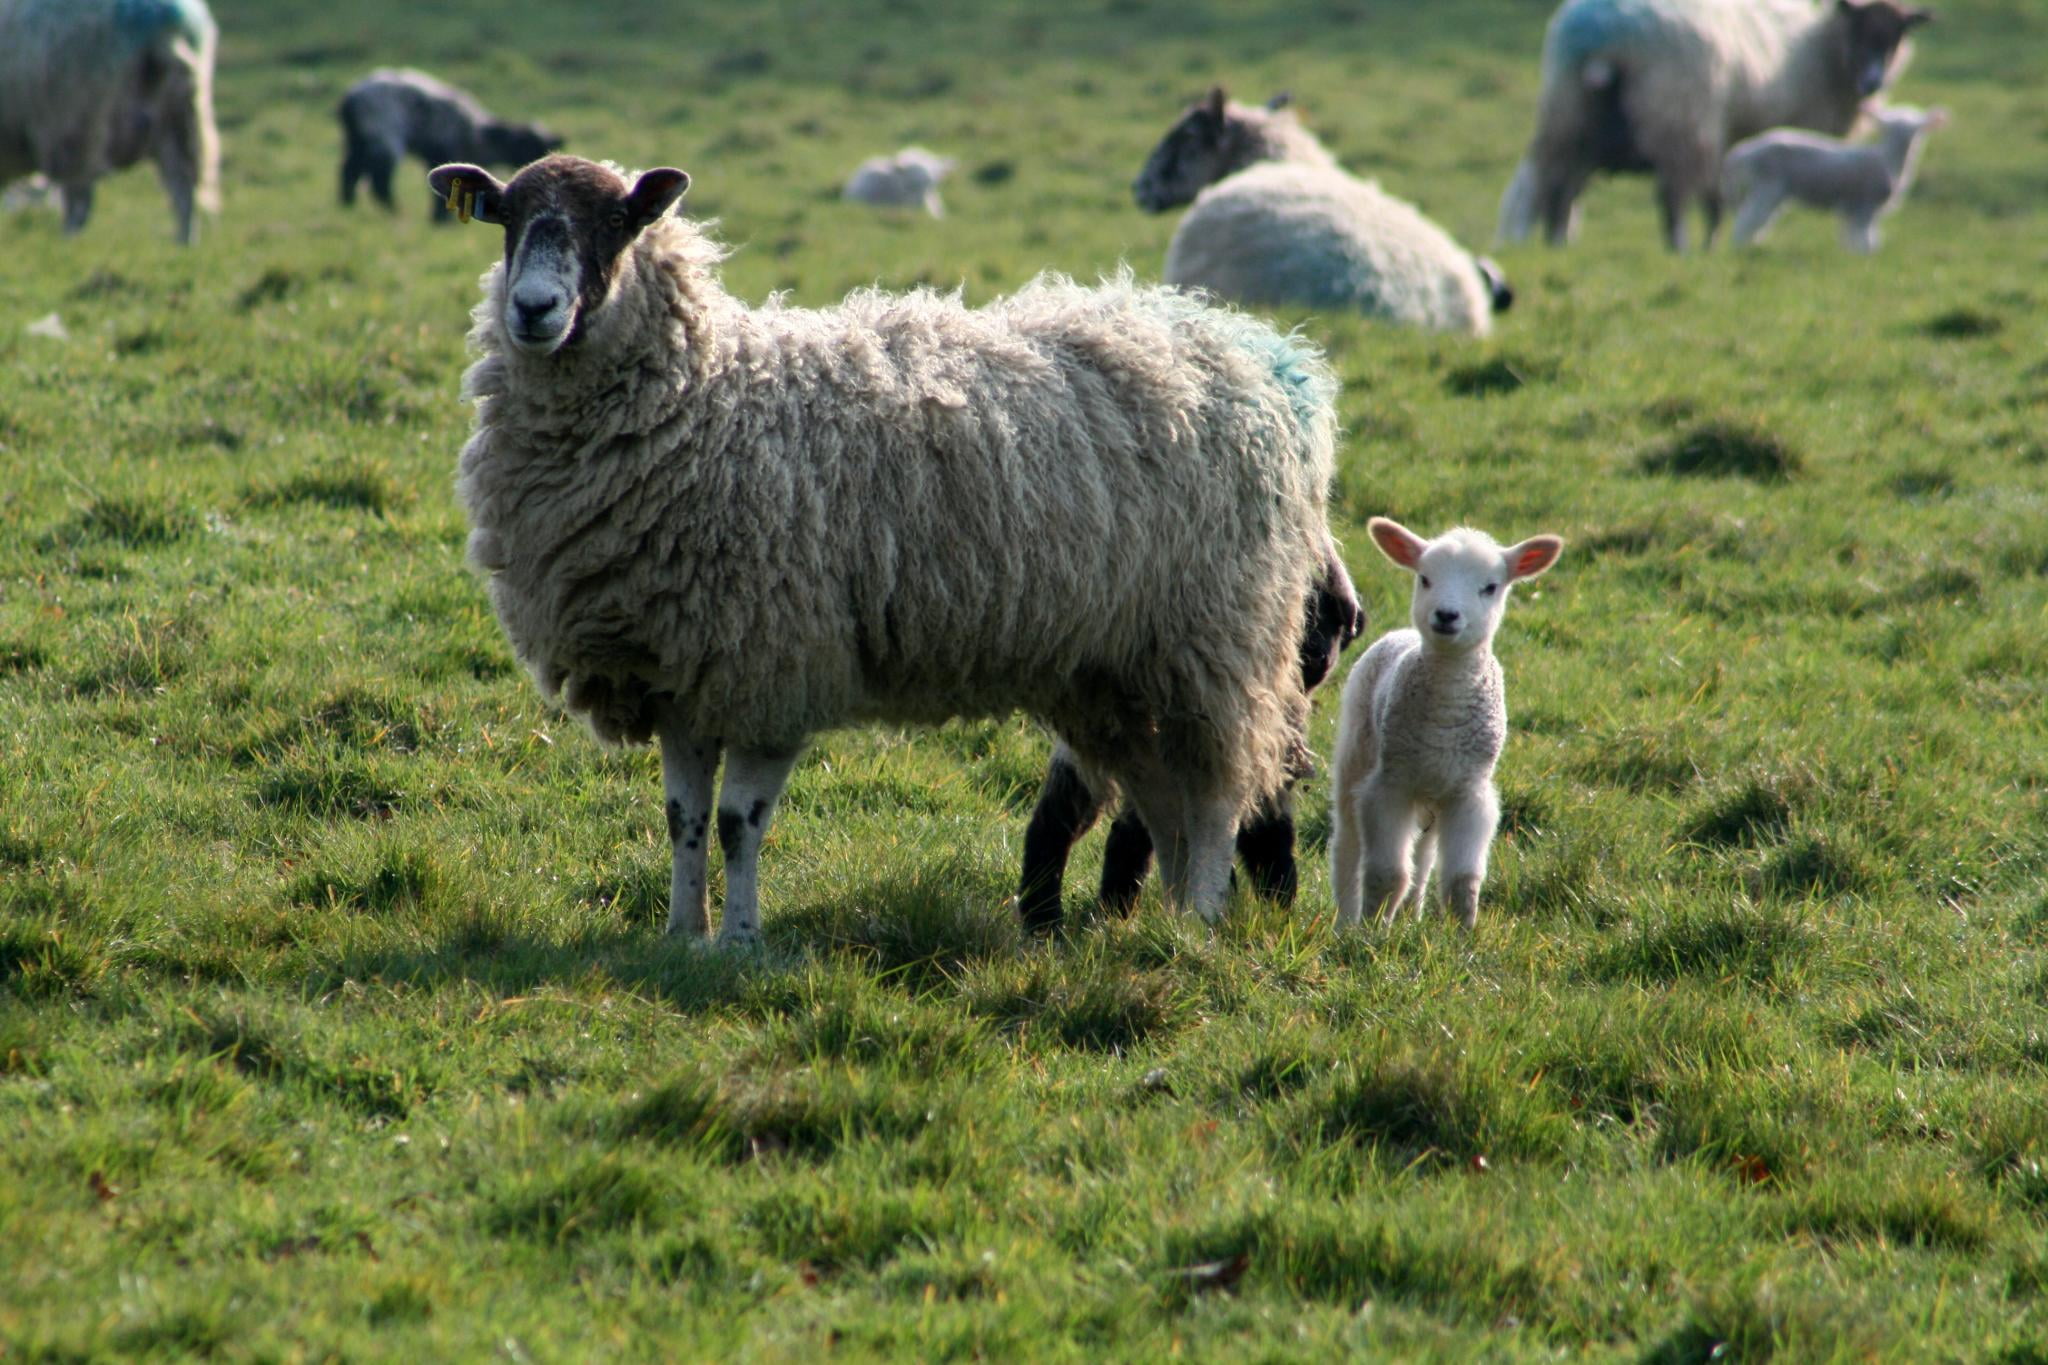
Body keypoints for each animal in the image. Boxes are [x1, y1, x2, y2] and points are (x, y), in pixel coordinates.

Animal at [0, 0, 221, 243]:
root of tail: (167, 26)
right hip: (178, 120)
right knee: (183, 190)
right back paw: (183, 244)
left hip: (73, 123)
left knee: (78, 199)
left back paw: (67, 244)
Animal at [340, 69, 560, 220]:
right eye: (526, 145)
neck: (478, 136)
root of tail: (350, 99)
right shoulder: (444, 151)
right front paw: (440, 220)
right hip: (384, 135)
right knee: (379, 180)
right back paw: (395, 212)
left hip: (357, 140)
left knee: (349, 169)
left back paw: (348, 205)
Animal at [1330, 518, 1562, 931]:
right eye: (1424, 578)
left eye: (1490, 587)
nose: (1447, 615)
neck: (1445, 714)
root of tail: (1402, 633)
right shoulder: (1390, 786)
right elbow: (1386, 872)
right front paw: (1372, 930)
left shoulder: (1468, 793)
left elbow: (1462, 878)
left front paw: (1463, 933)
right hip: (1357, 755)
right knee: (1348, 843)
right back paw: (1347, 921)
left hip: (1432, 795)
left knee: (1422, 857)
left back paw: (1411, 914)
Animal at [1721, 102, 1946, 251]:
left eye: (1917, 132)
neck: (1888, 159)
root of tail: (1744, 152)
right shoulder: (1866, 204)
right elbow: (1865, 235)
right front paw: (1867, 255)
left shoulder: (1852, 207)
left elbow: (1851, 234)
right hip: (1768, 187)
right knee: (1748, 219)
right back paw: (1740, 247)